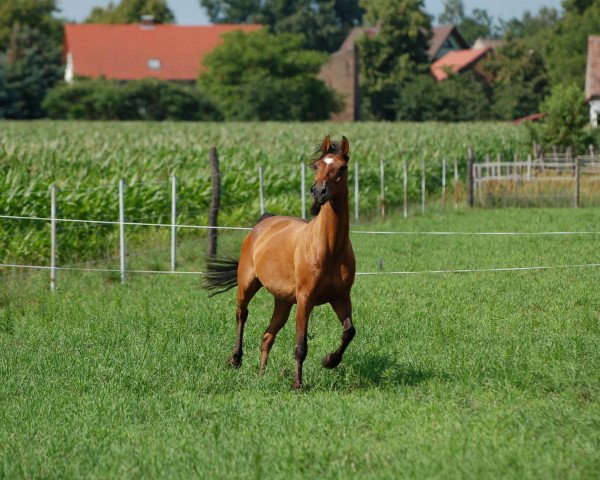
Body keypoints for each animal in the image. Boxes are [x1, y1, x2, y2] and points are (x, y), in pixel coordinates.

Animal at [205, 135, 356, 390]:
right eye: (317, 165)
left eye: (342, 168)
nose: (318, 192)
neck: (329, 248)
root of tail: (263, 223)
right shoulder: (306, 300)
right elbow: (301, 345)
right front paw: (298, 385)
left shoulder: (341, 297)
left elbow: (349, 332)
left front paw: (329, 361)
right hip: (247, 285)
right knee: (241, 315)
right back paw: (235, 359)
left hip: (283, 302)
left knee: (267, 336)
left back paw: (261, 375)